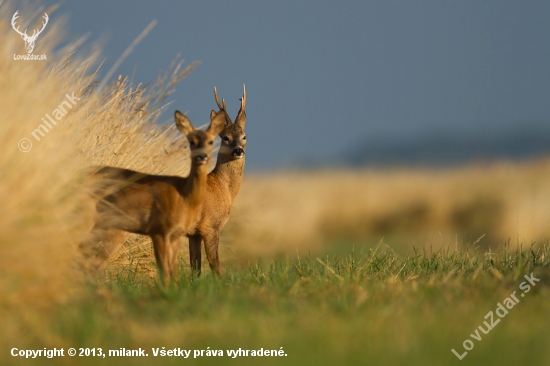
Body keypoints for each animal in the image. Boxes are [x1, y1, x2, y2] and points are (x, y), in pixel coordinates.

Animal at [80, 110, 226, 284]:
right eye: (191, 141)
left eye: (211, 141)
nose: (201, 156)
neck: (183, 196)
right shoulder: (158, 231)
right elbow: (164, 272)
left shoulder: (174, 235)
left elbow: (173, 271)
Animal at [188, 86, 248, 274]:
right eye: (225, 137)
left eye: (244, 136)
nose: (238, 150)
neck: (223, 189)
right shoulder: (210, 225)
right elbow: (215, 265)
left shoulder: (194, 233)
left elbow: (195, 268)